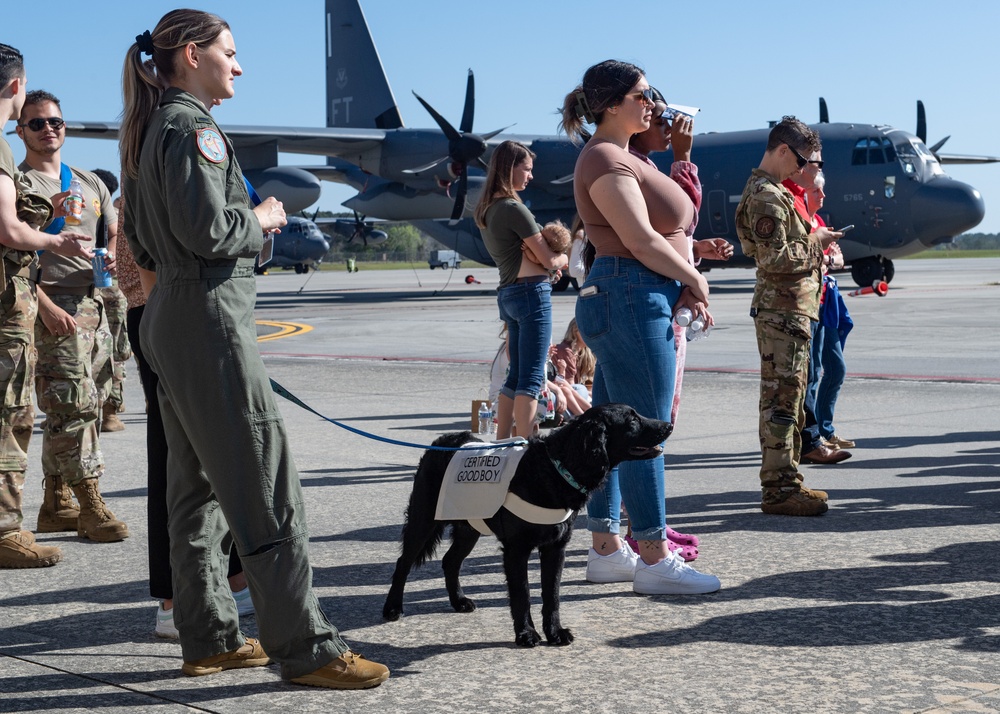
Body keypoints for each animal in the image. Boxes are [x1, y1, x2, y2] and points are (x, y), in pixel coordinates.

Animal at [382, 404, 672, 644]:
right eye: (632, 420)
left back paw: (459, 601)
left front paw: (554, 632)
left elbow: (551, 595)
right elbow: (522, 594)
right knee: (403, 563)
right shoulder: (516, 550)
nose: (668, 425)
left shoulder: (555, 548)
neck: (554, 467)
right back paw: (393, 607)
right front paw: (526, 633)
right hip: (424, 520)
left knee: (450, 561)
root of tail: (439, 443)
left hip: (470, 527)